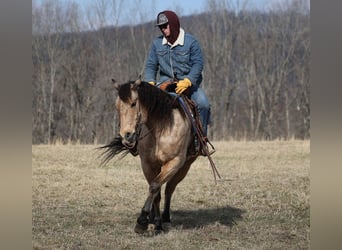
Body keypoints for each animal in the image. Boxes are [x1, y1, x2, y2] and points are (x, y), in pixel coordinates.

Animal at [101, 78, 219, 234]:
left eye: (134, 103)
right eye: (117, 106)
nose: (127, 136)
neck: (161, 127)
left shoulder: (174, 162)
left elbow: (156, 186)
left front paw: (142, 221)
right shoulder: (147, 164)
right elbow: (155, 191)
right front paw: (154, 222)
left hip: (185, 166)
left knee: (170, 188)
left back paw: (166, 218)